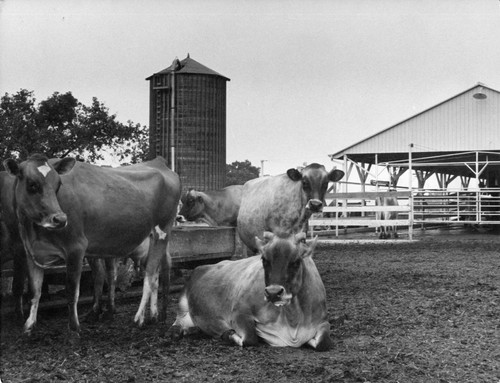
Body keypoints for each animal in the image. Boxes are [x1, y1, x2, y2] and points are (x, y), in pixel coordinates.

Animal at [2, 153, 181, 336]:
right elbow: (35, 291)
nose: (60, 219)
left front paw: (74, 329)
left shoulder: (76, 247)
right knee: (158, 272)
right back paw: (156, 315)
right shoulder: (31, 252)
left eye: (58, 184)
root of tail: (159, 162)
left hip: (162, 231)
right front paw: (29, 325)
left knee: (150, 275)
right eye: (32, 185)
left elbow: (72, 291)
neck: (33, 232)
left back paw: (139, 318)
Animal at [170, 231, 334, 352]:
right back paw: (182, 330)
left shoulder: (323, 321)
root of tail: (201, 267)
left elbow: (324, 343)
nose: (273, 293)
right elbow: (249, 338)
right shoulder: (238, 313)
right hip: (182, 304)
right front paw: (229, 334)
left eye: (296, 261)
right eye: (263, 259)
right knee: (177, 323)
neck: (292, 318)